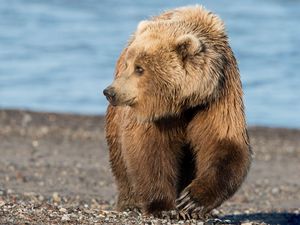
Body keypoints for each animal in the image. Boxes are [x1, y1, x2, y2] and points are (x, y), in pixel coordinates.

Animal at [102, 4, 251, 217]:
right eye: (128, 65)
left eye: (139, 68)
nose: (110, 91)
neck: (184, 102)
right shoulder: (155, 115)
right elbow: (149, 148)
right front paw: (163, 207)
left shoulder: (217, 98)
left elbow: (223, 142)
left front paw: (191, 201)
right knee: (119, 157)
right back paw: (130, 202)